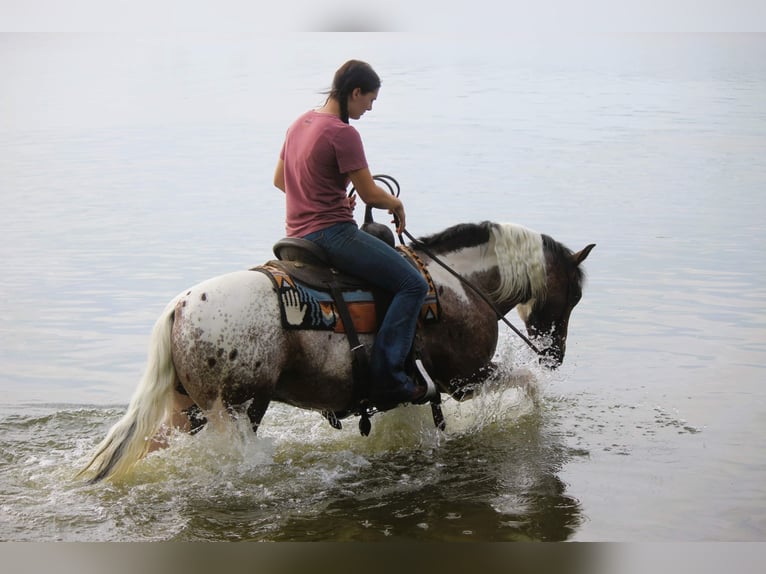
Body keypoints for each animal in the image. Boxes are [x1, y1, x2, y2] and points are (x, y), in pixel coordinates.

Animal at [76, 223, 592, 484]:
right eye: (574, 294)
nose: (555, 354)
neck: (458, 286)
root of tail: (180, 307)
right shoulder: (464, 380)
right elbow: (530, 387)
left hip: (187, 411)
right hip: (236, 410)